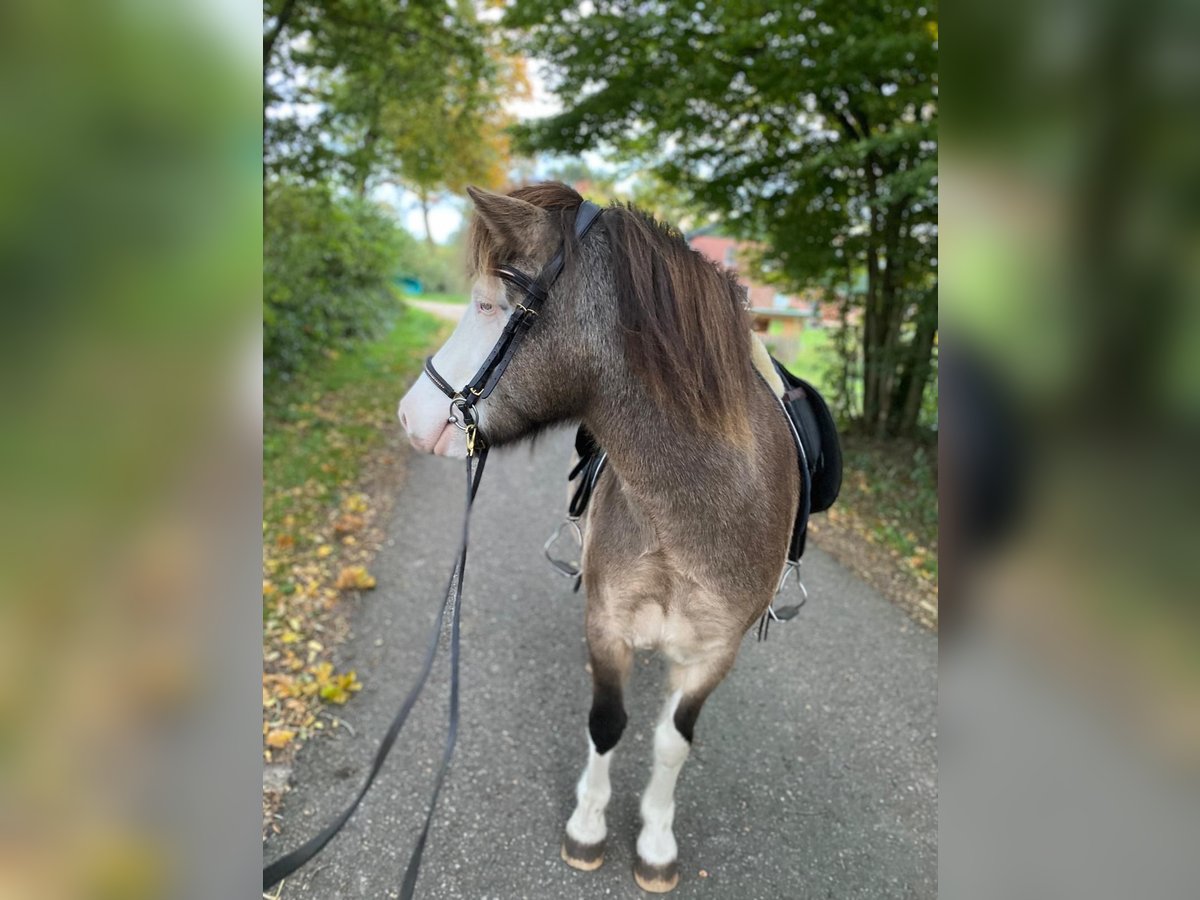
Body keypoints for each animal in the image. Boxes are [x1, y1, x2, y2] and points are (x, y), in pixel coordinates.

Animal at [398, 182, 799, 893]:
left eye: (486, 304)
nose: (408, 415)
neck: (690, 516)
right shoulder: (607, 627)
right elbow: (607, 723)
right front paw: (587, 827)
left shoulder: (714, 653)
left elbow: (672, 741)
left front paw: (657, 840)